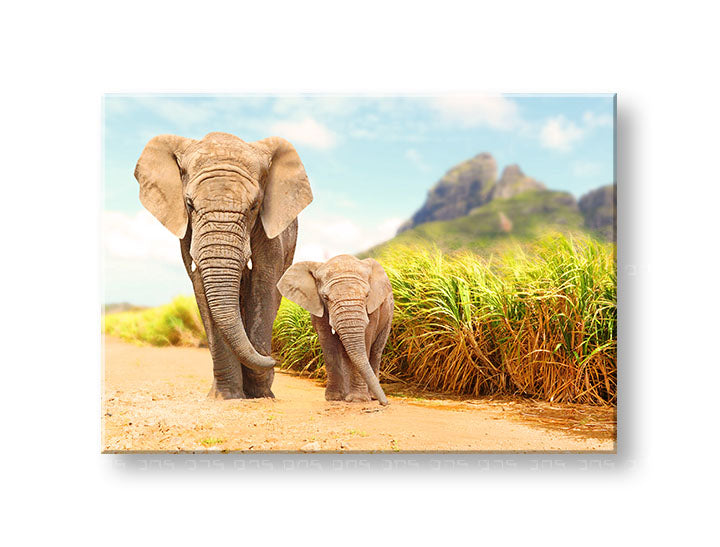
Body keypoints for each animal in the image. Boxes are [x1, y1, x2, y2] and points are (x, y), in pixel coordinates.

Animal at [134, 132, 313, 399]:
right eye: (189, 204)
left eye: (254, 206)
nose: (275, 360)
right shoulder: (188, 231)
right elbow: (201, 286)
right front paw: (226, 397)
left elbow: (263, 283)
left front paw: (260, 393)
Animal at [277, 255, 393, 405]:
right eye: (325, 297)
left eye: (367, 295)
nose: (385, 403)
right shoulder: (318, 308)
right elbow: (329, 345)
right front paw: (334, 398)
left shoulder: (373, 310)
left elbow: (366, 339)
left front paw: (358, 400)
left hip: (389, 315)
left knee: (376, 351)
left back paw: (371, 396)